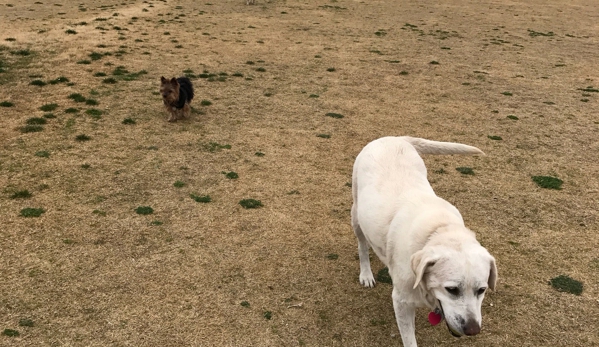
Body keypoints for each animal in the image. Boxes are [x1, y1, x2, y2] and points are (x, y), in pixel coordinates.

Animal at [352, 137, 496, 347]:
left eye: (482, 290)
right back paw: (366, 274)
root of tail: (394, 137)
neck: (438, 230)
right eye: (452, 290)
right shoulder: (401, 302)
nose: (472, 330)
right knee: (362, 245)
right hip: (356, 216)